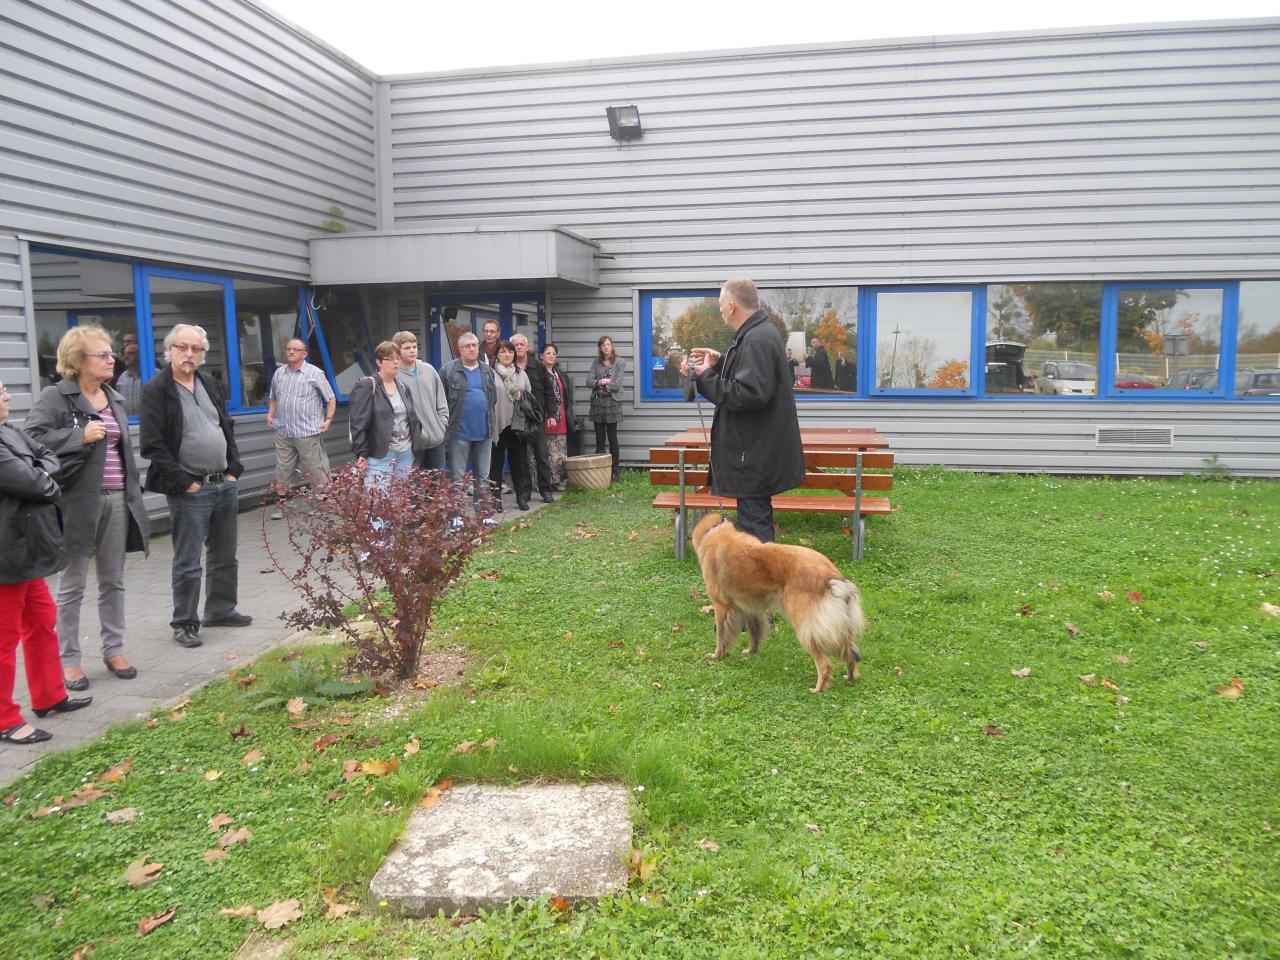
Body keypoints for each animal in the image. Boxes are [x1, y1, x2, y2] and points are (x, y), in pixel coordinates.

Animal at [696, 514, 865, 696]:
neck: (716, 530)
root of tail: (832, 576)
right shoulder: (750, 608)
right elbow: (754, 633)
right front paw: (751, 651)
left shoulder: (721, 606)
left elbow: (721, 635)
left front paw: (717, 655)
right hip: (840, 628)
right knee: (851, 654)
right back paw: (850, 677)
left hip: (805, 628)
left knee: (824, 663)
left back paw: (818, 688)